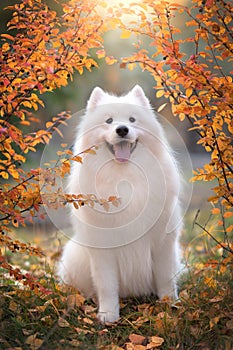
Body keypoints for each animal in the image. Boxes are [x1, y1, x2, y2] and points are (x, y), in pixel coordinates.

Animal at [57, 85, 182, 322]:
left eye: (132, 119)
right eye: (108, 121)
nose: (122, 129)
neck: (124, 179)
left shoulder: (162, 243)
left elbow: (165, 278)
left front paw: (170, 305)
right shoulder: (103, 249)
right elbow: (107, 286)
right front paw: (108, 315)